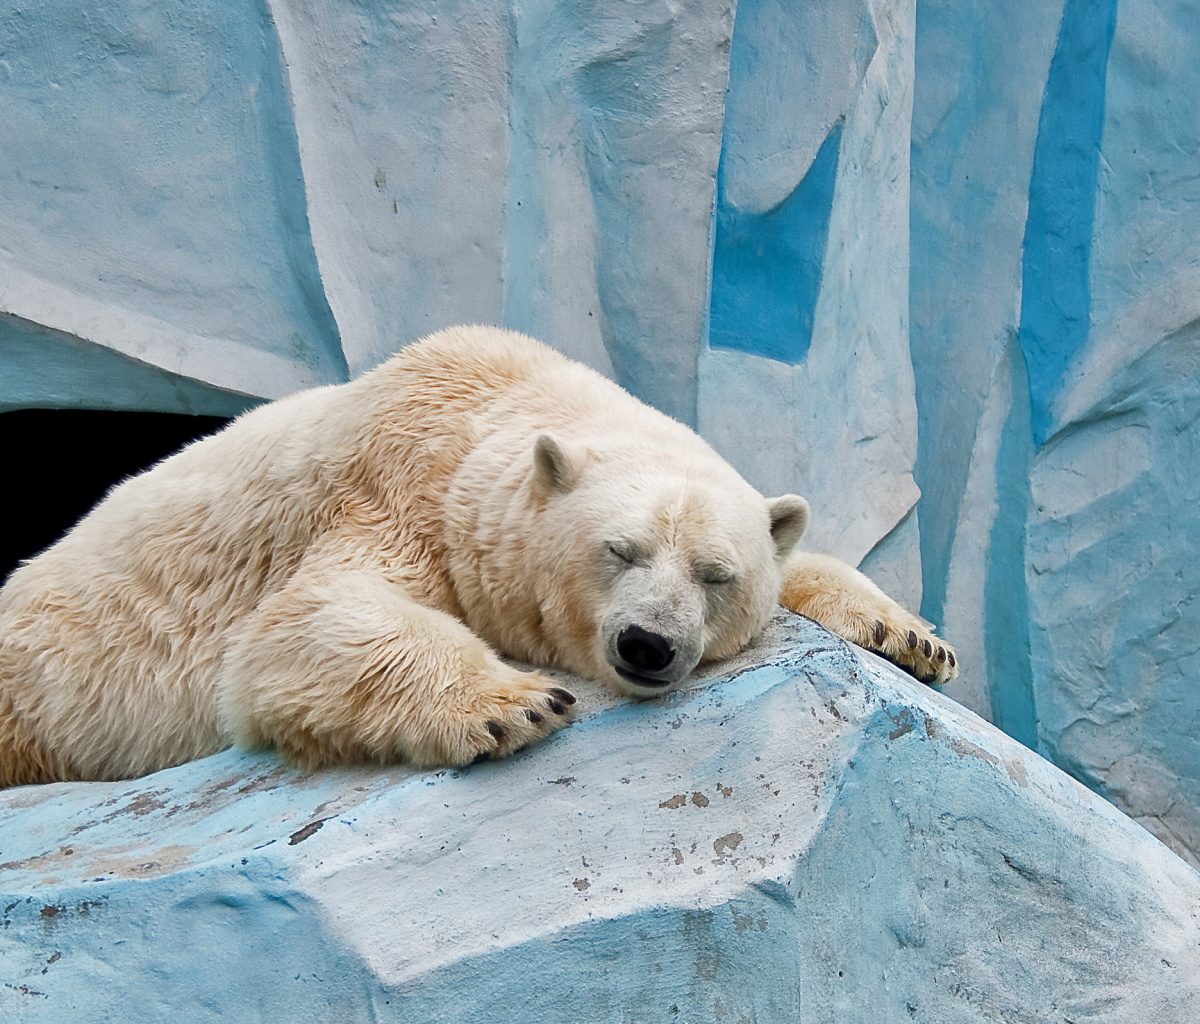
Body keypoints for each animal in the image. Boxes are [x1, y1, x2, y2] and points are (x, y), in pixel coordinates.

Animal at [0, 324, 955, 787]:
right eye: (620, 550)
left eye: (716, 575)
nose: (648, 646)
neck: (491, 405)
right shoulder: (389, 491)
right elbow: (301, 625)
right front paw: (516, 703)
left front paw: (913, 638)